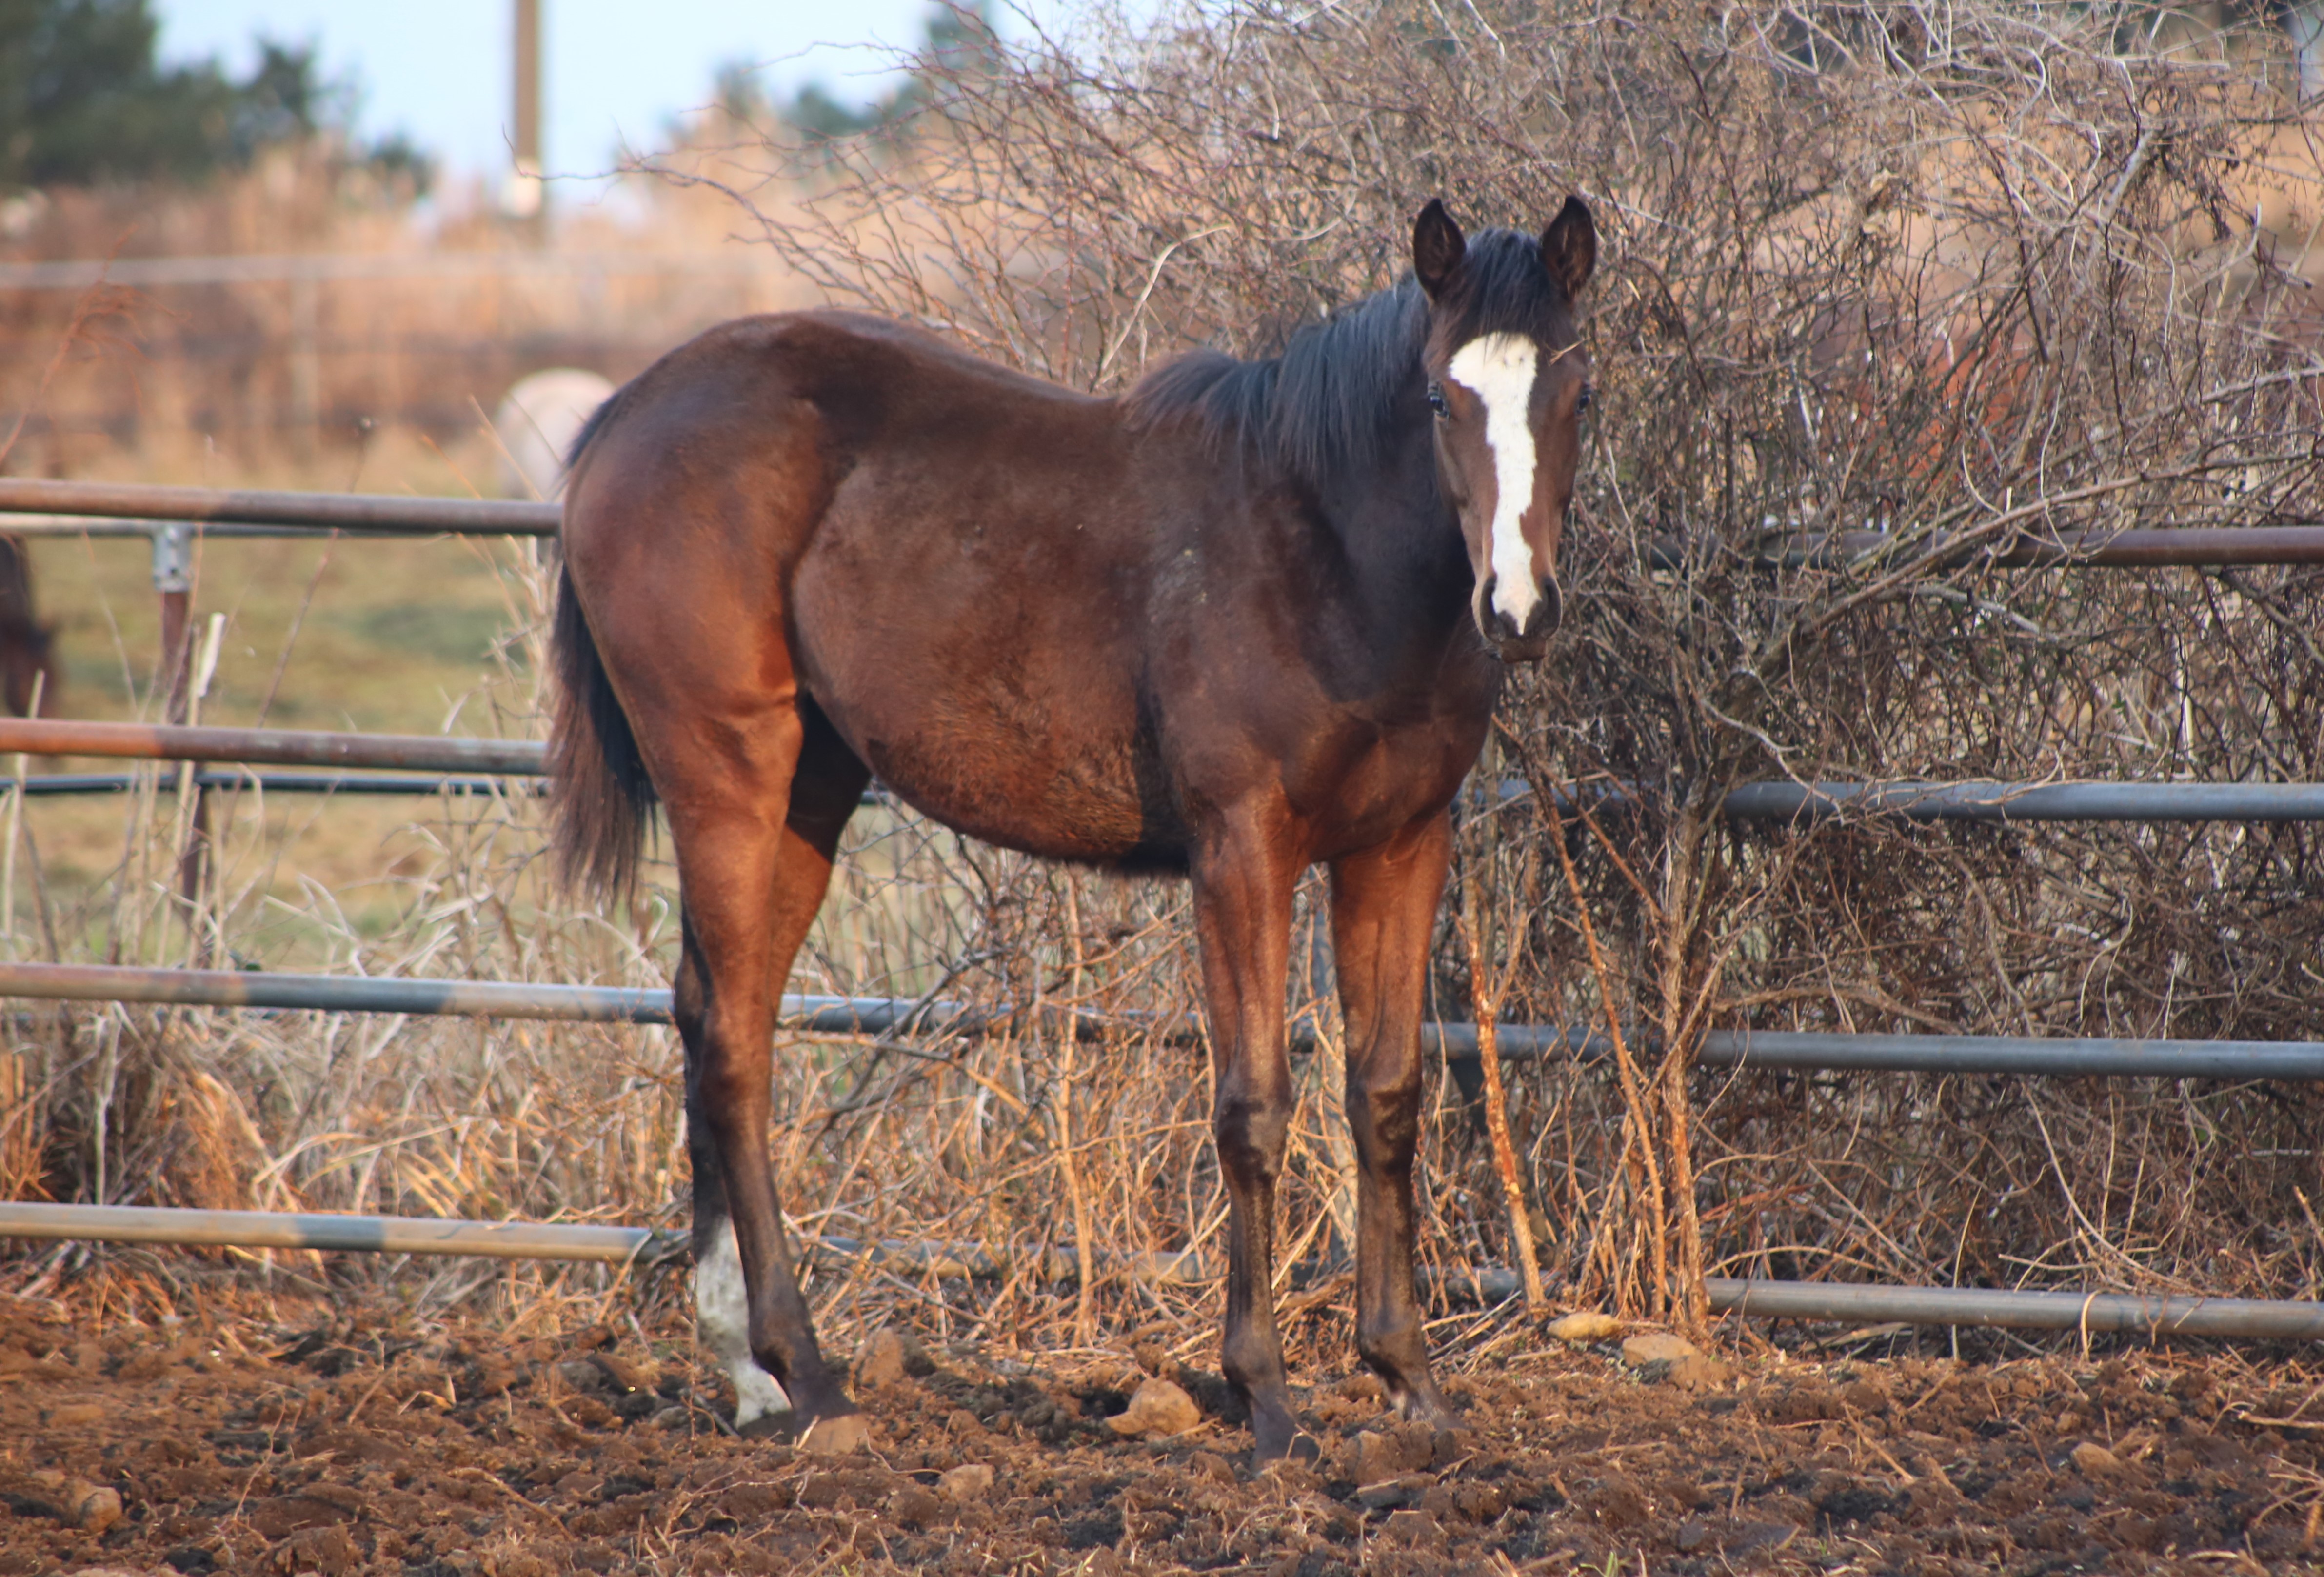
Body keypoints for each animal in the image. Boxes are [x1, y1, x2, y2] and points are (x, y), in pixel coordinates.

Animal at [548, 201, 1599, 1470]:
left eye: (1578, 391)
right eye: (1443, 398)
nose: (1520, 609)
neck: (1322, 549)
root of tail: (626, 413)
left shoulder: (1398, 847)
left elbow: (1385, 1095)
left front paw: (1412, 1380)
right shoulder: (1240, 851)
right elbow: (1252, 1105)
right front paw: (1266, 1399)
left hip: (807, 797)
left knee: (709, 1013)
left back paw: (749, 1374)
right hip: (727, 781)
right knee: (738, 1055)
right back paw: (812, 1375)